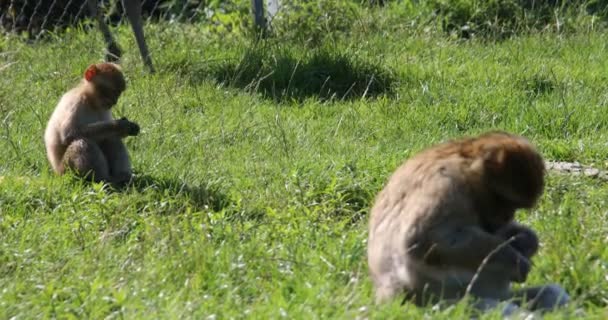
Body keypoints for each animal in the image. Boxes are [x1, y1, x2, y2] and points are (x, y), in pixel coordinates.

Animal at [366, 132, 568, 316]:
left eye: (513, 208)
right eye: (504, 201)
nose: (506, 216)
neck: (465, 166)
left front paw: (526, 240)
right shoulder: (446, 183)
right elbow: (421, 239)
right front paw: (517, 262)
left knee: (551, 293)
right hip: (443, 306)